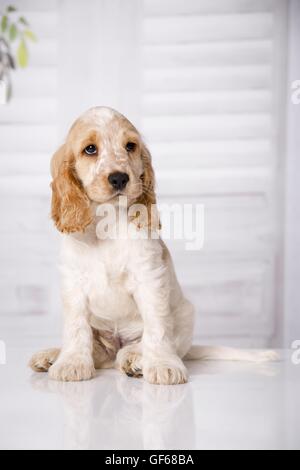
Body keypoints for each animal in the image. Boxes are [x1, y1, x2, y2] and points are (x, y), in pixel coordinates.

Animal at [29, 108, 278, 384]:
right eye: (90, 149)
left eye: (130, 146)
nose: (119, 178)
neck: (109, 222)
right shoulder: (74, 281)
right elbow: (76, 326)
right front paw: (71, 362)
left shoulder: (149, 277)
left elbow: (157, 327)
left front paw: (162, 364)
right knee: (101, 353)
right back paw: (52, 355)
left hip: (185, 315)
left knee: (142, 347)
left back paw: (136, 360)